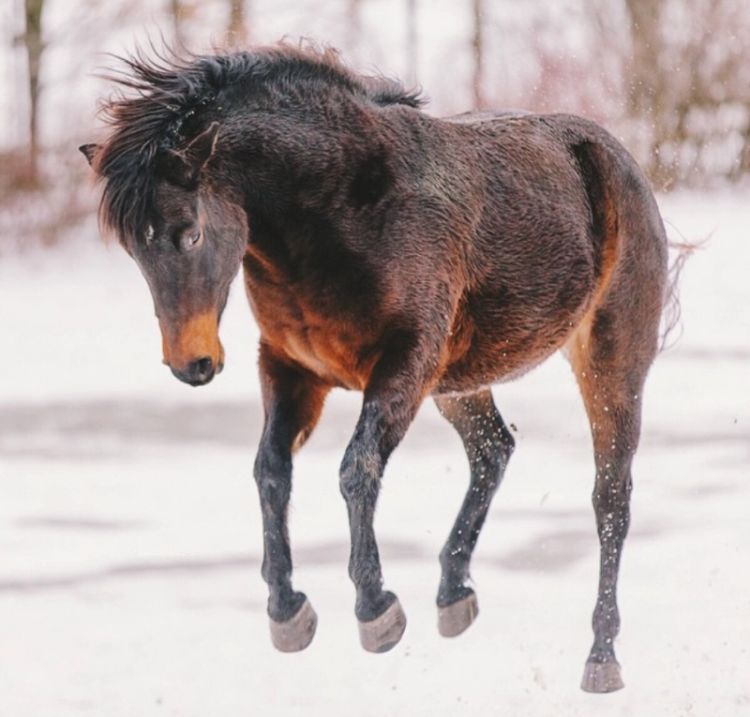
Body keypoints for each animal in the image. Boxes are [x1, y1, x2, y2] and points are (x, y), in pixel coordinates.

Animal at [81, 42, 668, 692]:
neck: (344, 209)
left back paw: (601, 656)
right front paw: (287, 611)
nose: (192, 364)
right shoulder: (292, 368)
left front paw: (375, 609)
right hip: (458, 384)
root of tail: (616, 159)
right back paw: (453, 593)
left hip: (610, 365)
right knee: (493, 451)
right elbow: (270, 472)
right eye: (135, 248)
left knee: (610, 500)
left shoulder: (404, 362)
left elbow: (356, 469)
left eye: (188, 234)